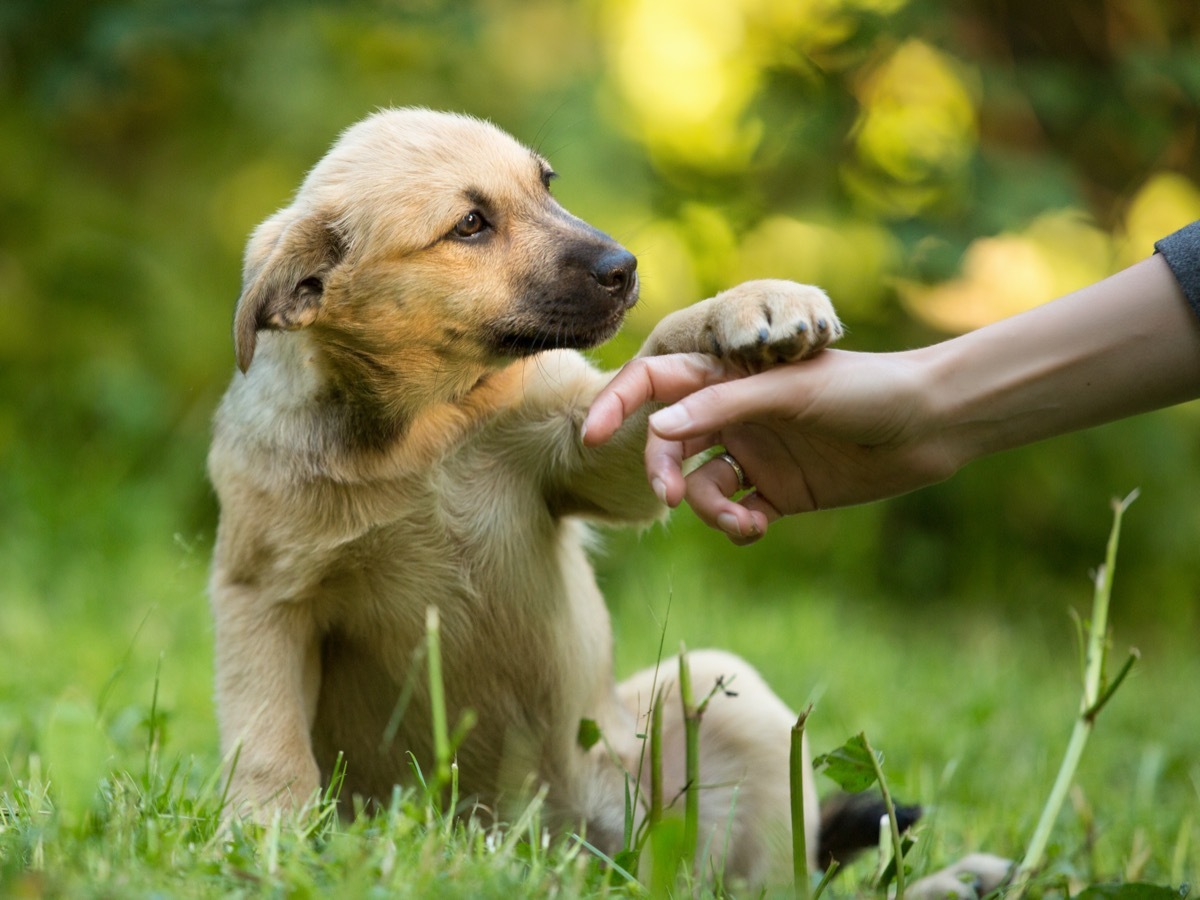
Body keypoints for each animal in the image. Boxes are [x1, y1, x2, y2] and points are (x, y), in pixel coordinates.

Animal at [208, 107, 1003, 897]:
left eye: (546, 183)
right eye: (470, 224)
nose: (625, 268)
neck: (427, 430)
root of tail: (567, 852)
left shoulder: (586, 446)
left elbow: (659, 353)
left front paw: (752, 304)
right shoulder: (261, 595)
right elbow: (271, 742)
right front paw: (264, 839)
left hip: (720, 703)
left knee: (776, 881)